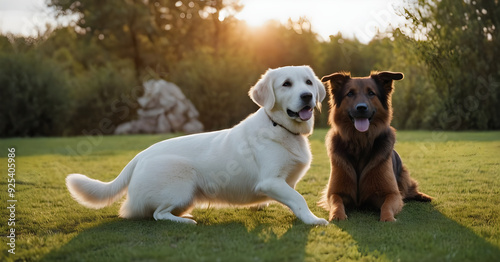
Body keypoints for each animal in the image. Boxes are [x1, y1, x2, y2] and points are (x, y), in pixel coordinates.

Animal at [67, 66, 328, 225]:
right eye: (286, 84)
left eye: (308, 82)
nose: (307, 96)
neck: (281, 127)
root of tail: (141, 155)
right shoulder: (270, 181)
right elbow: (299, 199)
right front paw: (313, 220)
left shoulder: (286, 182)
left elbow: (294, 198)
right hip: (182, 186)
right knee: (157, 214)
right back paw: (184, 221)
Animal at [318, 71, 432, 221]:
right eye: (350, 93)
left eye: (371, 93)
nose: (361, 108)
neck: (360, 143)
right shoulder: (334, 192)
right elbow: (336, 202)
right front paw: (337, 215)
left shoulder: (392, 193)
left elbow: (387, 205)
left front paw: (387, 218)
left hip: (404, 177)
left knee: (410, 189)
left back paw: (423, 196)